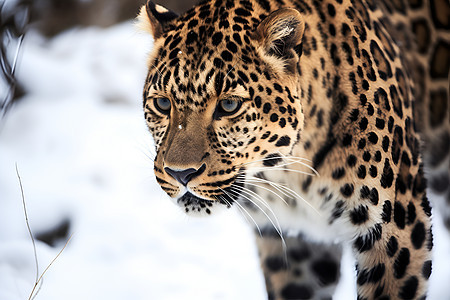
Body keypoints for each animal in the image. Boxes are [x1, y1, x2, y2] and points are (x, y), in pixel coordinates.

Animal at [138, 1, 450, 298]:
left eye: (228, 105)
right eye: (163, 104)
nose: (180, 174)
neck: (294, 172)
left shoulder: (396, 230)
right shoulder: (293, 244)